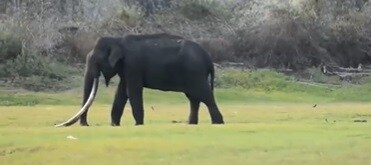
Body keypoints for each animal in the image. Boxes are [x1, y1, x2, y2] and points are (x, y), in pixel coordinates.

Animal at [54, 32, 224, 127]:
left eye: (96, 62)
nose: (86, 125)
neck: (118, 40)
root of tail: (208, 58)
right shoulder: (125, 68)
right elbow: (121, 93)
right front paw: (114, 124)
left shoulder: (133, 65)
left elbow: (132, 91)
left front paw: (138, 124)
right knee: (194, 98)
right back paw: (192, 123)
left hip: (195, 72)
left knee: (205, 95)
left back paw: (218, 123)